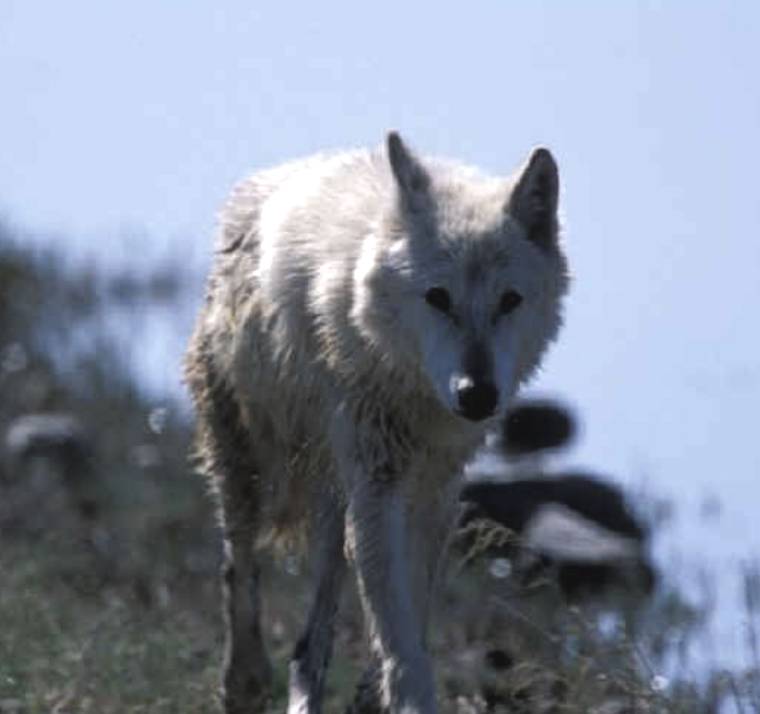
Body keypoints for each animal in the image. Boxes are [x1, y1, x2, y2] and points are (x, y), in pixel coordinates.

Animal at [184, 131, 569, 714]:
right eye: (438, 297)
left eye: (509, 301)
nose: (476, 394)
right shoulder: (378, 481)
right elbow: (398, 633)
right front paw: (408, 695)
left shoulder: (436, 486)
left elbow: (409, 610)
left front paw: (373, 693)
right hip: (247, 459)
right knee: (239, 568)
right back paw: (245, 681)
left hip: (332, 493)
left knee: (310, 644)